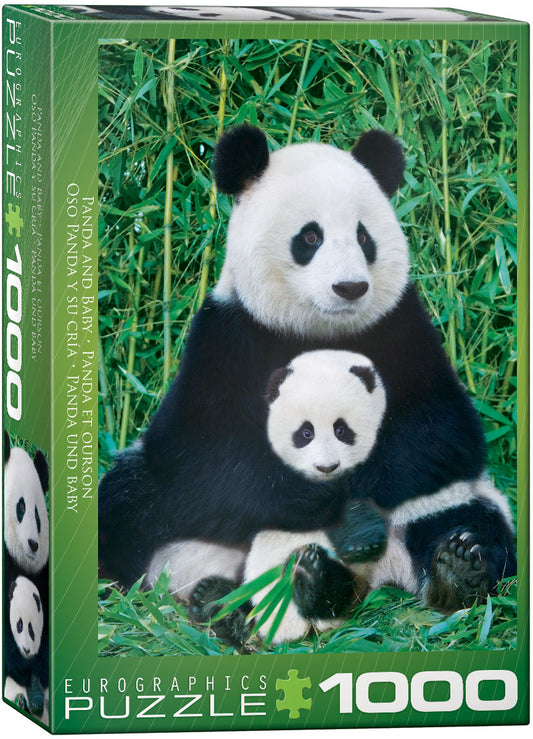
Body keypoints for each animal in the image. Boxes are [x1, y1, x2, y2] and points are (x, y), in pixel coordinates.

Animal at [98, 124, 515, 632]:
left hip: (452, 500)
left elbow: (441, 434)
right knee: (127, 504)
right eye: (311, 237)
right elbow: (206, 457)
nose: (350, 287)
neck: (318, 330)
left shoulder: (402, 330)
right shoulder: (228, 338)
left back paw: (453, 569)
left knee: (471, 519)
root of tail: (377, 576)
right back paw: (225, 599)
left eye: (363, 237)